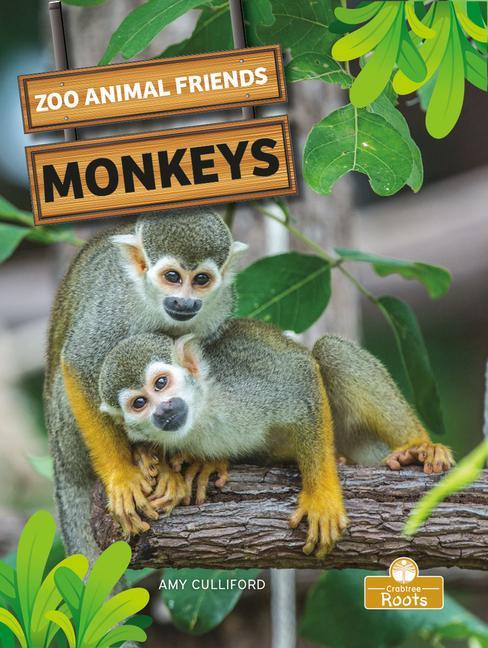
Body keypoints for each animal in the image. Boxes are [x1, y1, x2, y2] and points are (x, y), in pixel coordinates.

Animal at [44, 207, 248, 563]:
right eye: (172, 277)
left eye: (201, 280)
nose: (184, 303)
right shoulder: (114, 304)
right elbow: (79, 364)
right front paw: (121, 475)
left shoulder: (219, 305)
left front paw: (198, 459)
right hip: (65, 436)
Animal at [98, 320, 349, 559]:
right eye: (139, 403)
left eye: (161, 383)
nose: (163, 410)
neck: (203, 411)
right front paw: (163, 469)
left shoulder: (245, 386)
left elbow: (302, 379)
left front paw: (320, 498)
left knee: (330, 350)